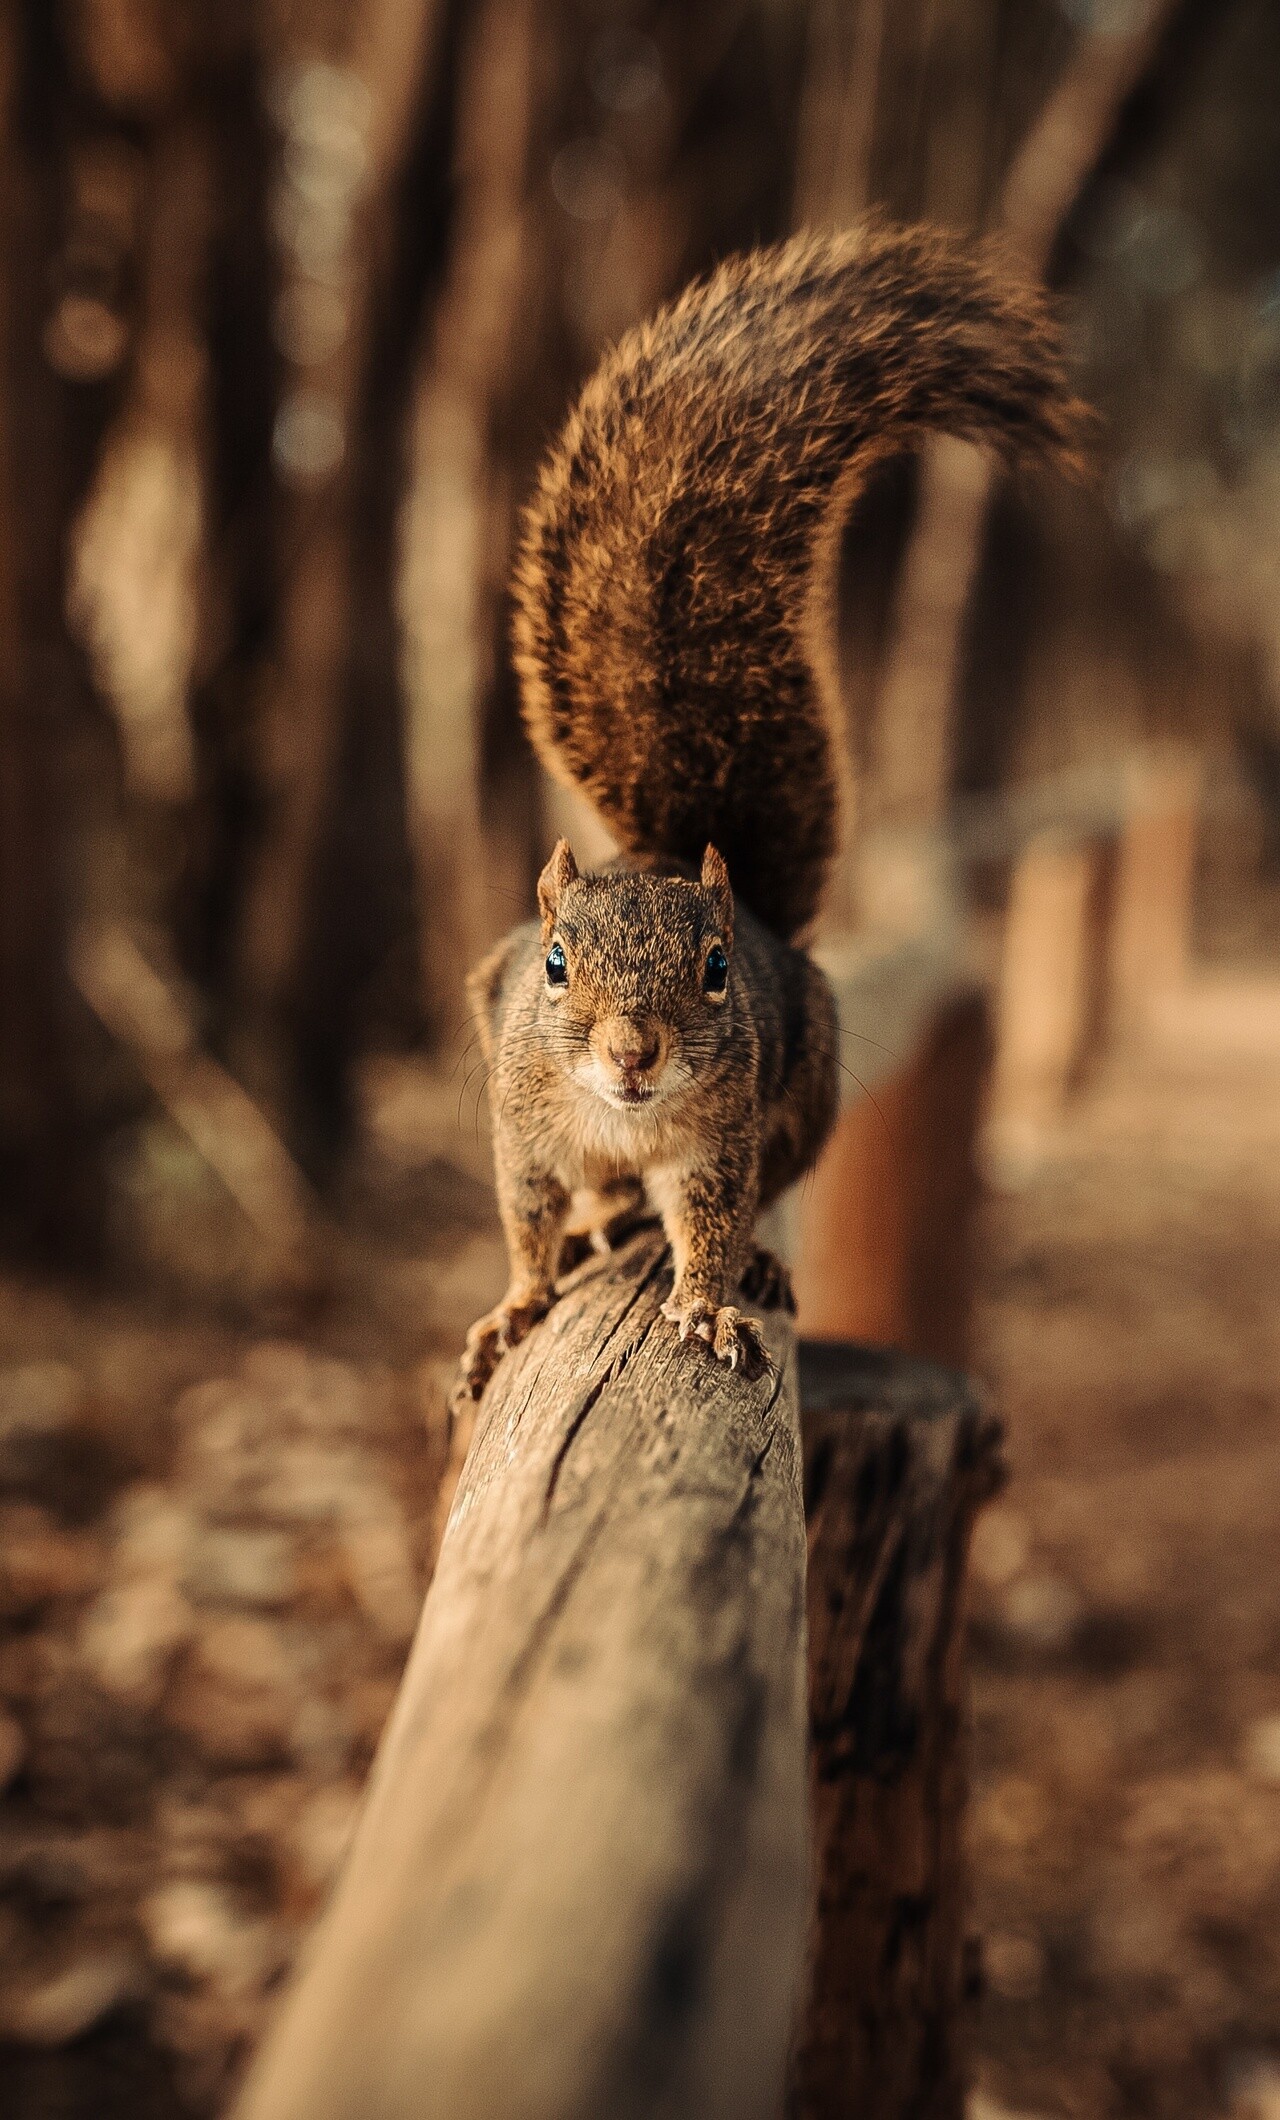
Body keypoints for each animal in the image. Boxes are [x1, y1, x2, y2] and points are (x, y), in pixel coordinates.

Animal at [455, 219, 1085, 1407]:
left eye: (713, 969)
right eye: (553, 965)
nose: (633, 1051)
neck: (621, 1118)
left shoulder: (720, 1143)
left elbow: (707, 1223)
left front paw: (707, 1302)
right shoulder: (523, 1129)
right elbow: (525, 1220)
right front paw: (514, 1304)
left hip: (806, 1086)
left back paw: (744, 1258)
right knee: (593, 1205)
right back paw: (597, 1224)